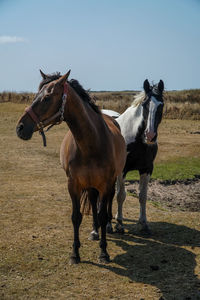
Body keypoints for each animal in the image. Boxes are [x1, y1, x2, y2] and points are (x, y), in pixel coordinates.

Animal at [16, 70, 125, 262]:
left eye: (47, 97)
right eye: (36, 95)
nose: (20, 127)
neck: (92, 144)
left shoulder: (105, 184)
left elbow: (103, 214)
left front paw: (104, 252)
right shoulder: (73, 184)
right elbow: (76, 216)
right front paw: (75, 253)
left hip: (110, 183)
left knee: (108, 203)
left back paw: (108, 226)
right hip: (90, 185)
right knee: (92, 200)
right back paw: (95, 231)